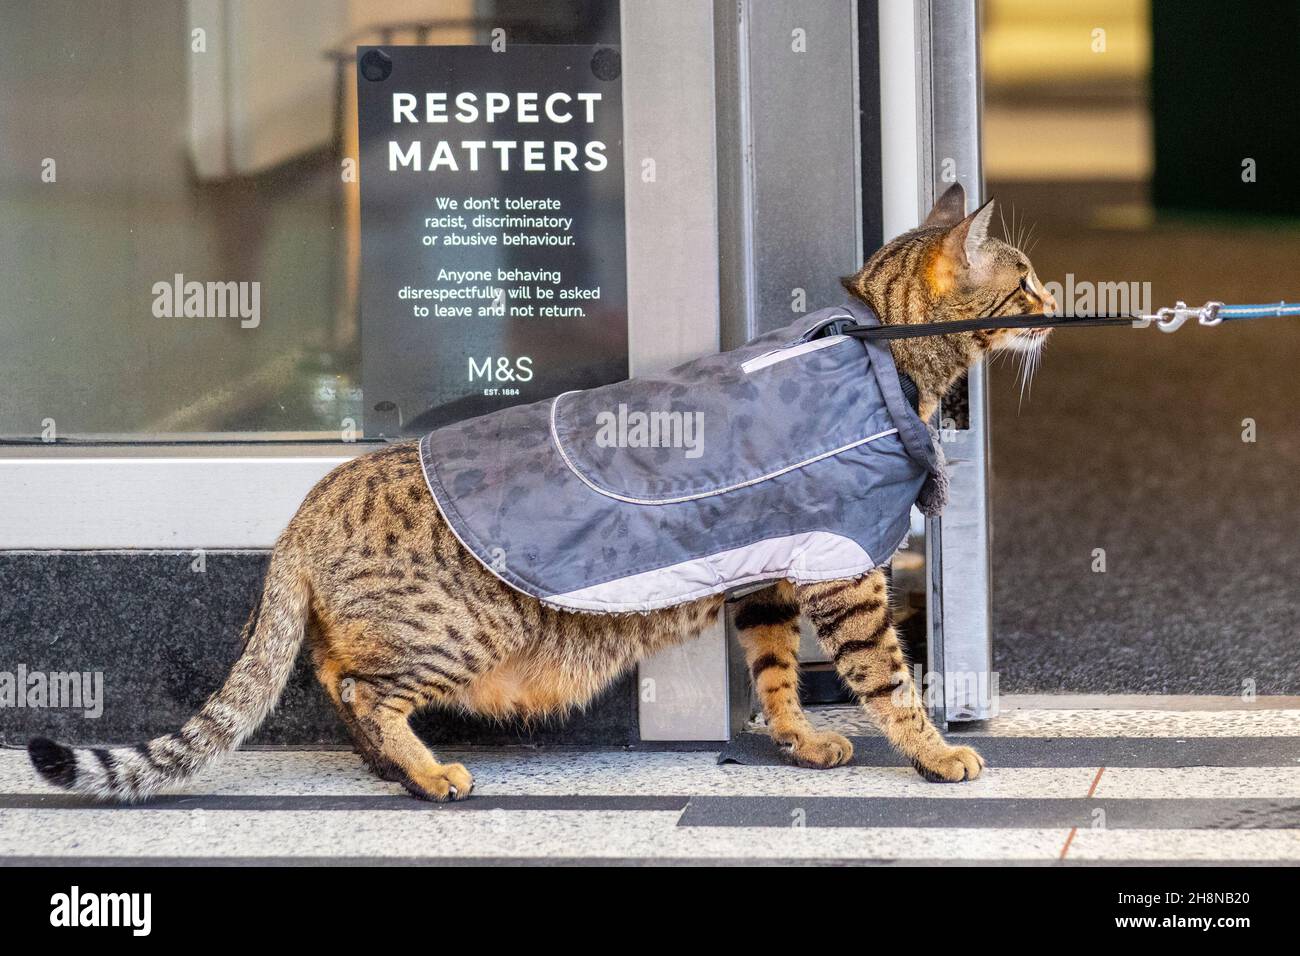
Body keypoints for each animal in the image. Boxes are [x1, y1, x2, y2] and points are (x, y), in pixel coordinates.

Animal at [25, 179, 1050, 801]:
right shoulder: (843, 569)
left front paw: (802, 738)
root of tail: (309, 507)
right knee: (358, 686)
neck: (884, 350)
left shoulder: (766, 570)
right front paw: (936, 752)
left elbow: (773, 669)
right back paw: (427, 774)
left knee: (328, 674)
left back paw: (392, 768)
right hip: (459, 630)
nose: (1053, 304)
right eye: (1026, 280)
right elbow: (887, 679)